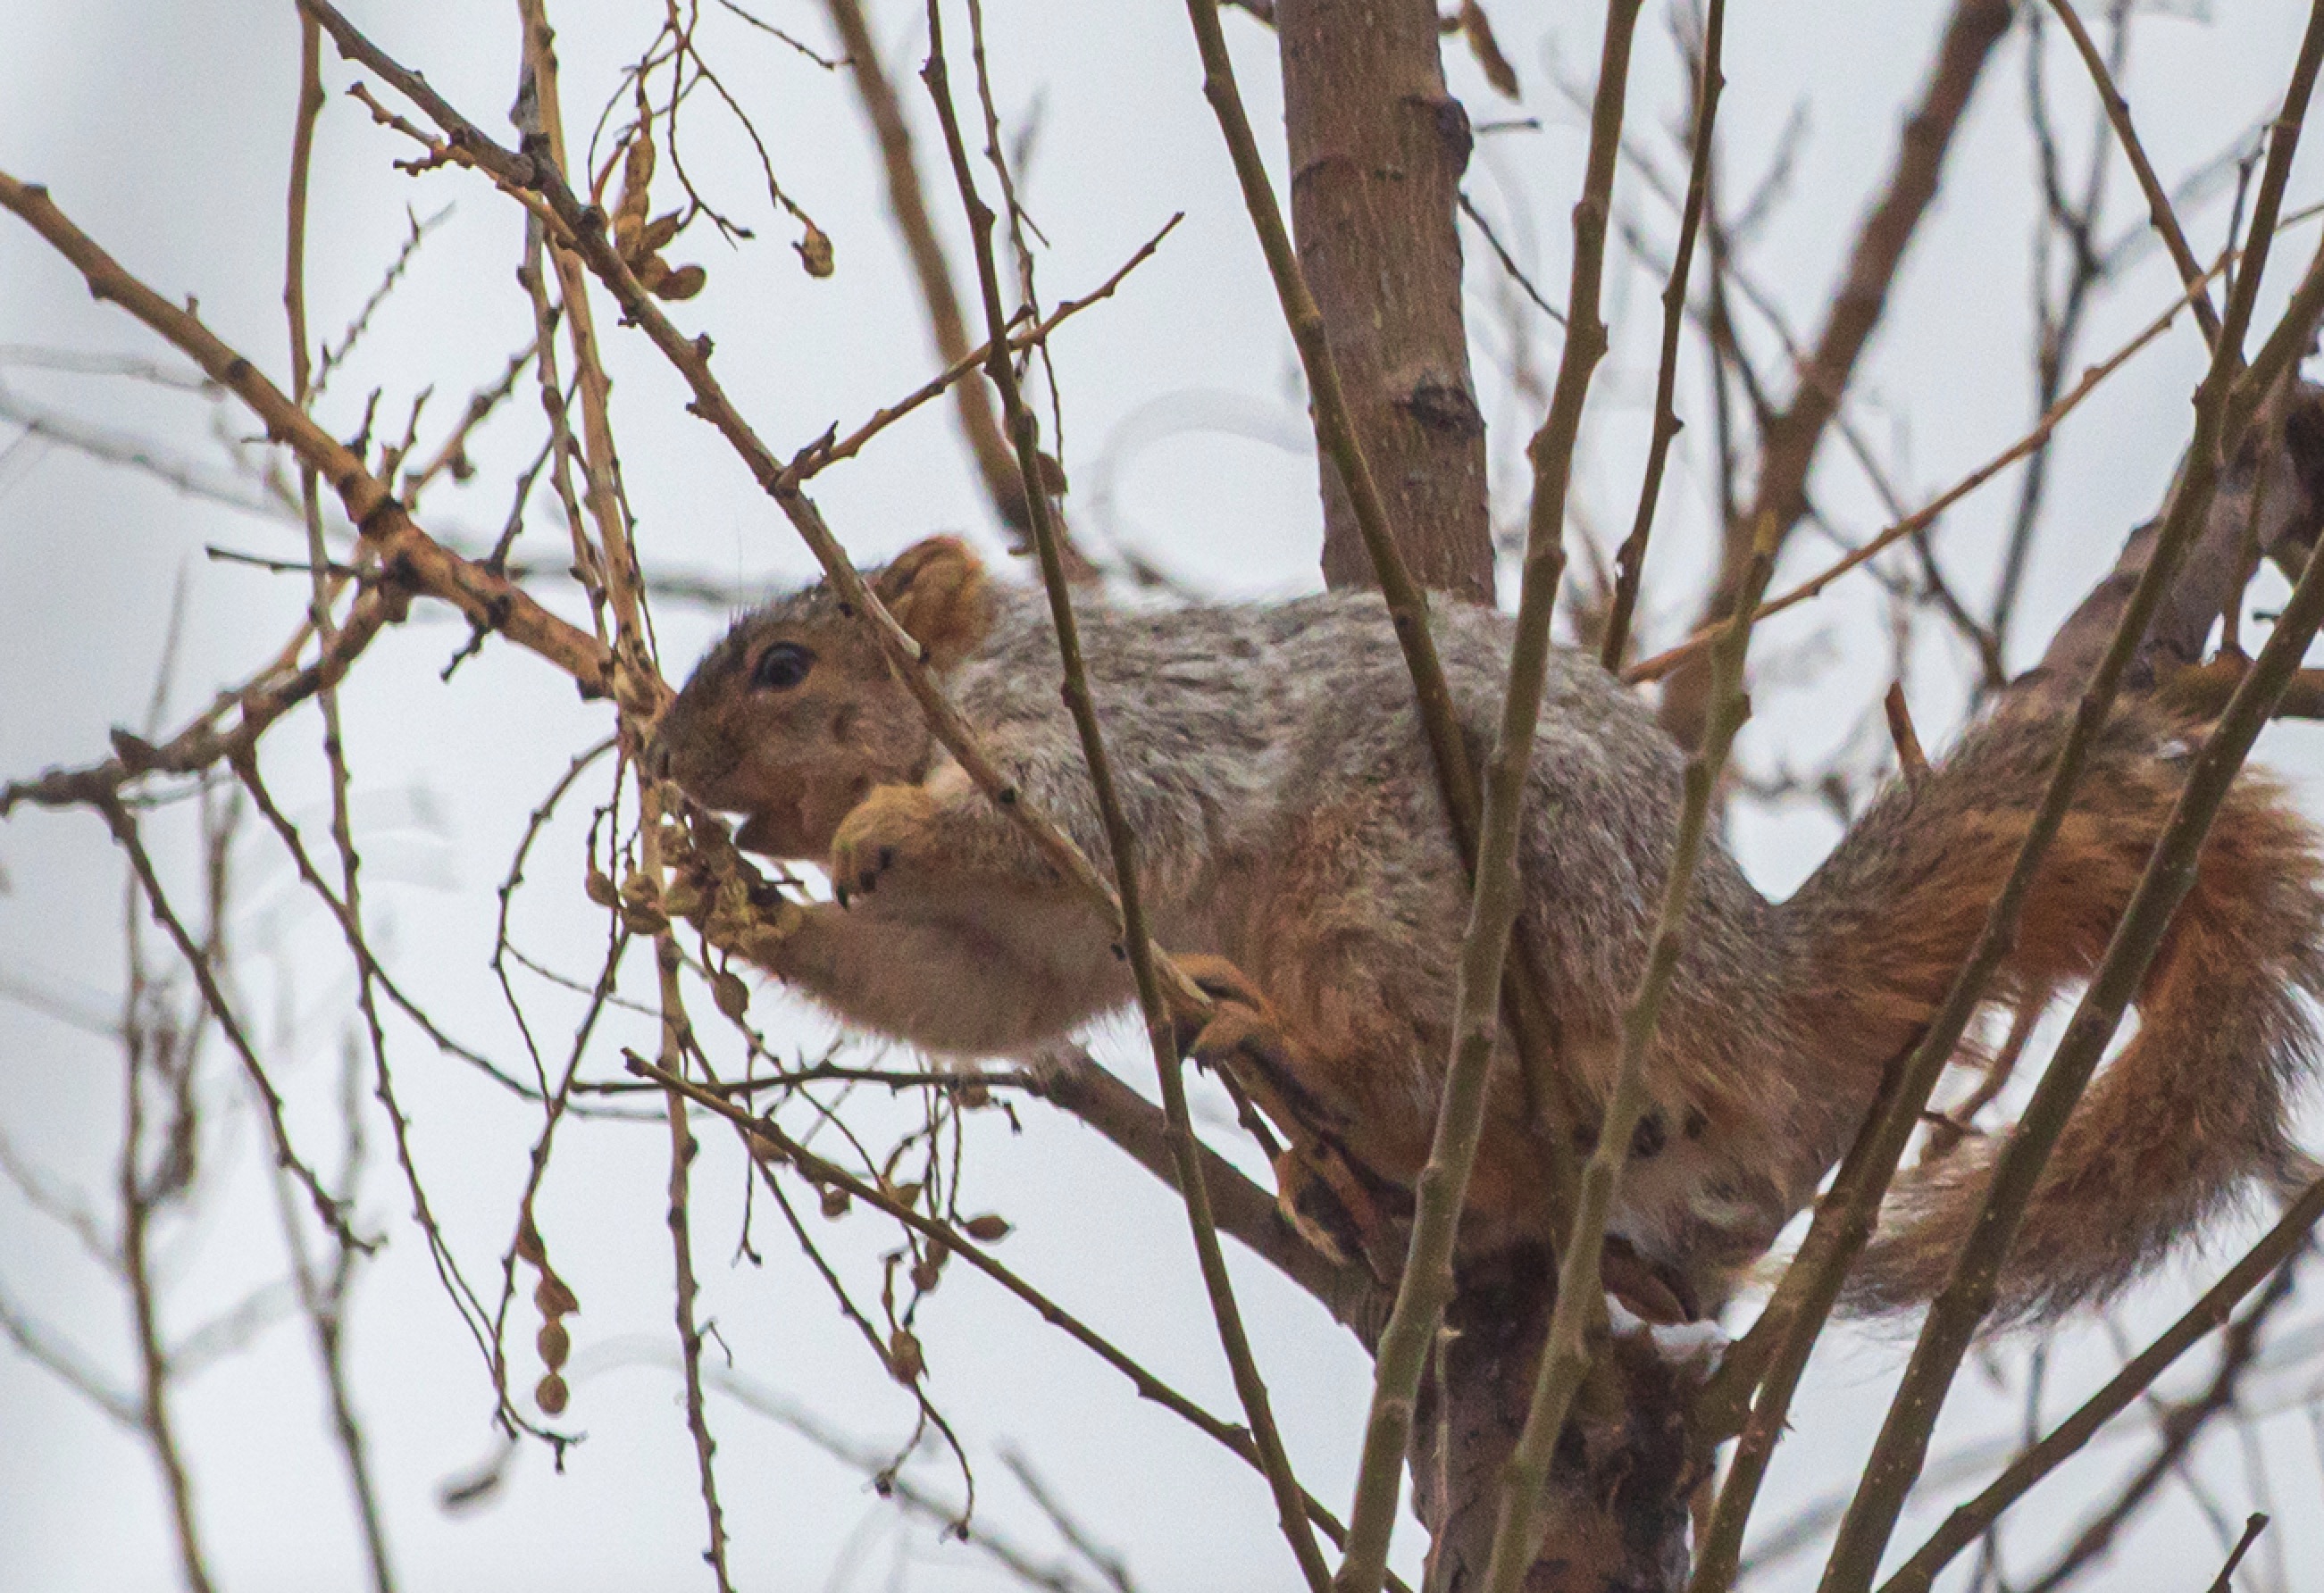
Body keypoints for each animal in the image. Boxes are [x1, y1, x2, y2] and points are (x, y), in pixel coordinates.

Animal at [646, 534, 2324, 1322]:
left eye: (786, 667)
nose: (659, 761)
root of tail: (1754, 992)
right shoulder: (1020, 950)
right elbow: (964, 994)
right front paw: (735, 904)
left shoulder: (1112, 740)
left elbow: (1050, 805)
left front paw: (879, 826)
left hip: (1411, 883)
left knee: (1462, 1069)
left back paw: (1288, 1047)